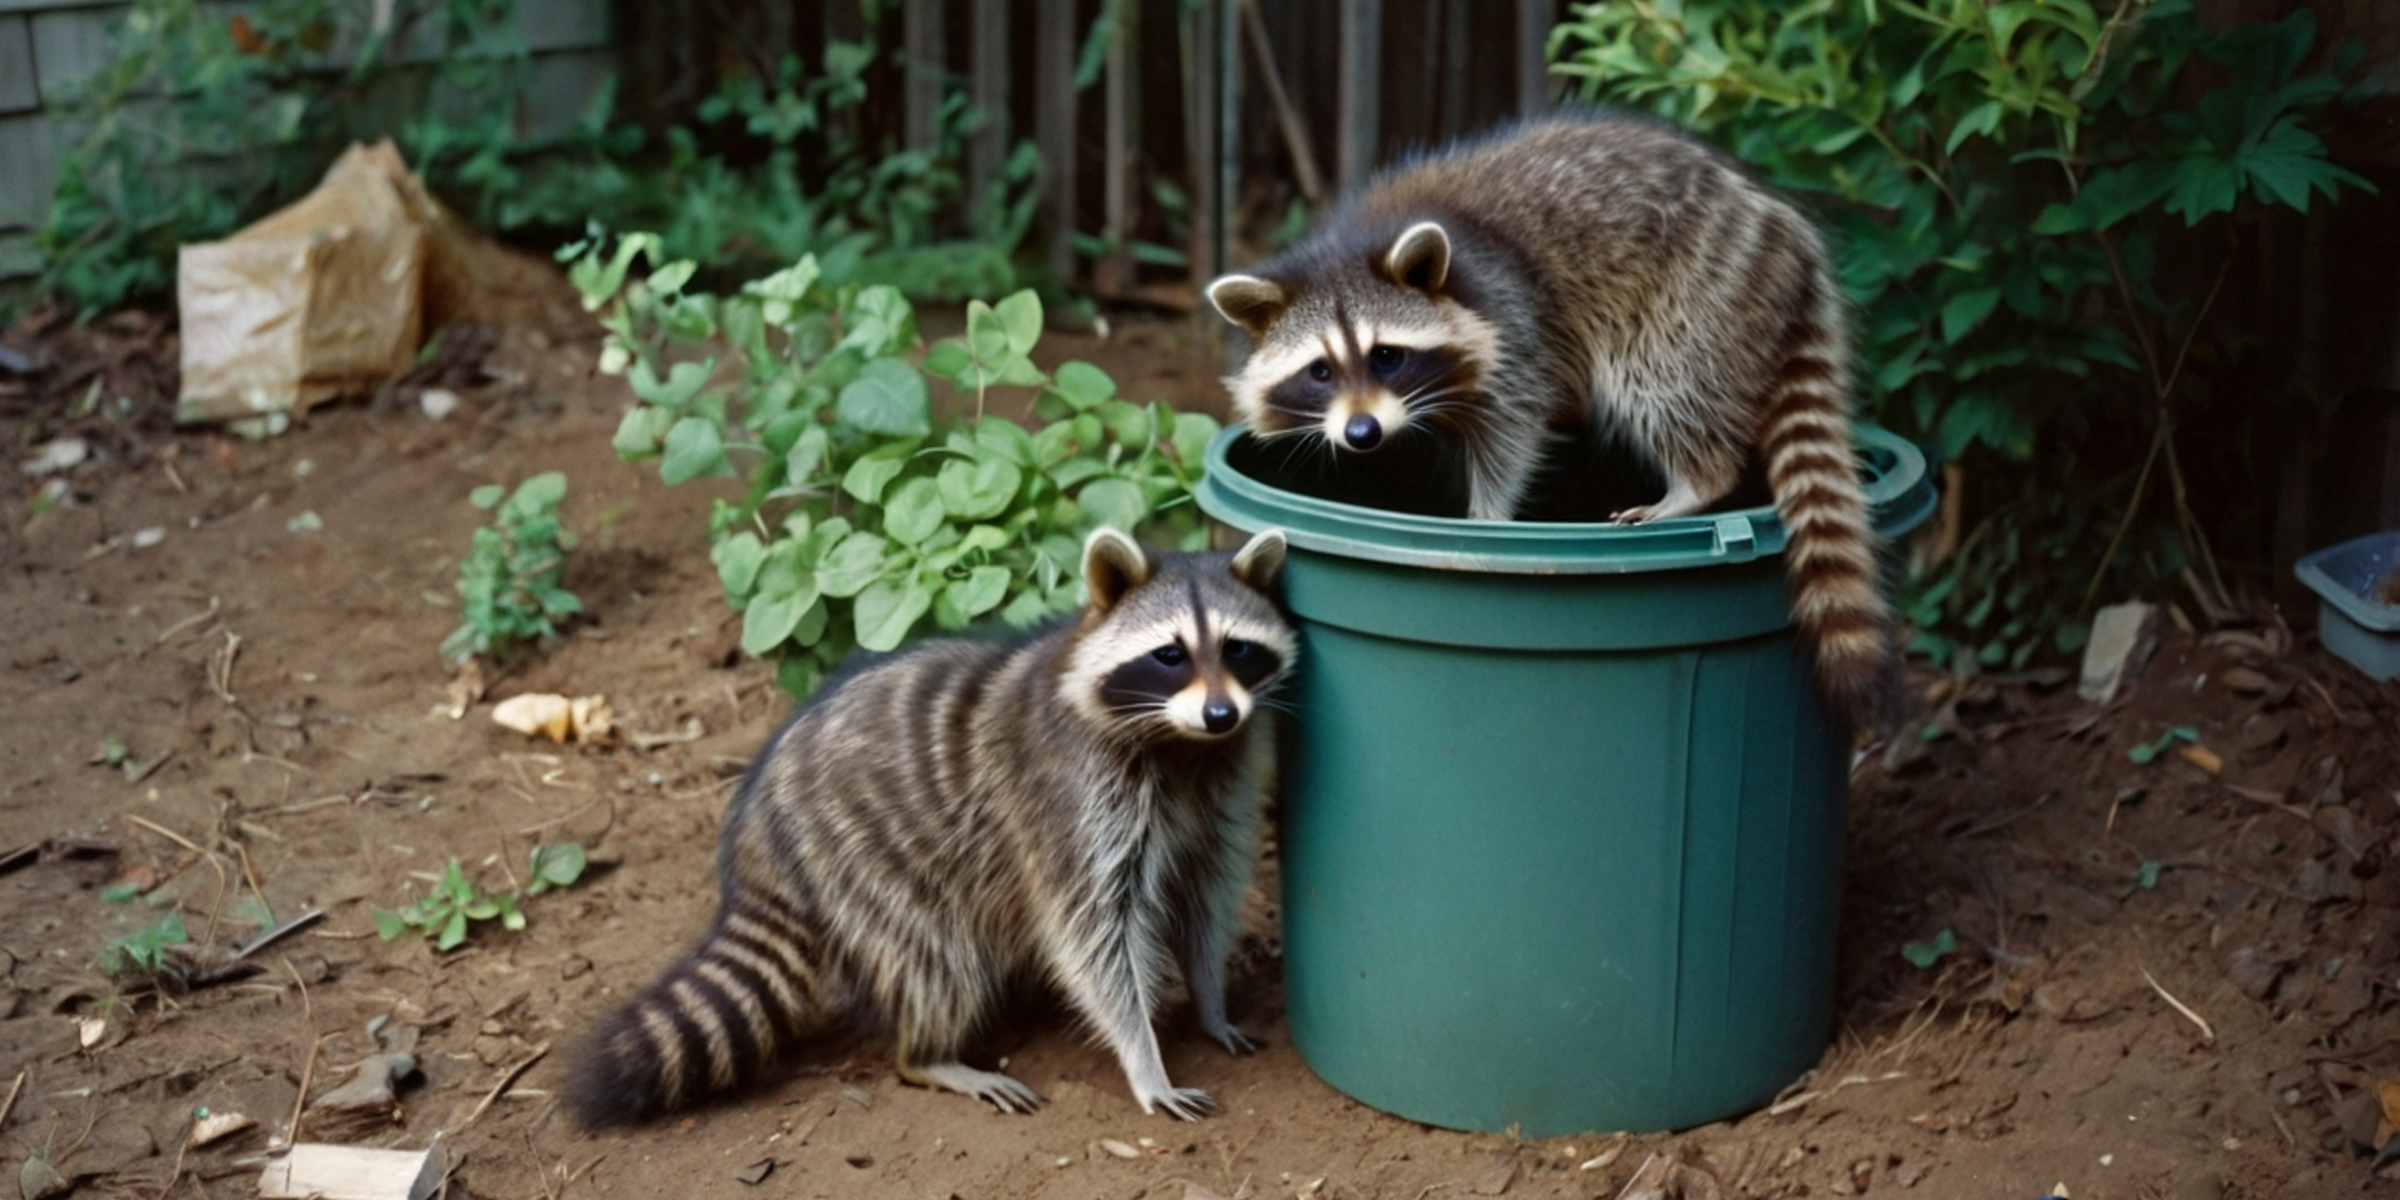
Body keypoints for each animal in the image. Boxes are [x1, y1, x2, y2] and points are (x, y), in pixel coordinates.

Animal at [564, 525, 1296, 1123]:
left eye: (1237, 649)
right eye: (1170, 655)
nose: (1222, 715)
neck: (1182, 743)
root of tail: (755, 830)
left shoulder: (1223, 779)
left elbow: (1206, 895)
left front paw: (1209, 1000)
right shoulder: (1069, 796)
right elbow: (1092, 933)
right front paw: (1143, 1058)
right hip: (865, 861)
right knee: (937, 958)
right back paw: (927, 1054)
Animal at [1219, 112, 1891, 724]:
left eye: (1387, 356)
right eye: (1320, 372)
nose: (1363, 434)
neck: (1354, 244)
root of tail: (1787, 232)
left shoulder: (1514, 317)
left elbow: (1515, 425)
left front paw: (1484, 519)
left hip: (1699, 292)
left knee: (1662, 375)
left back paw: (1696, 482)